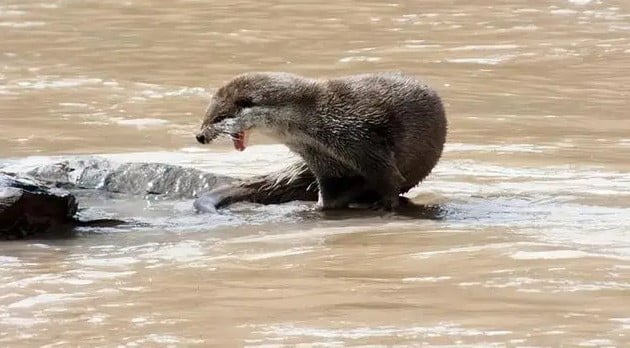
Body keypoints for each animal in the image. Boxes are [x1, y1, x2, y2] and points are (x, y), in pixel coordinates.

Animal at [195, 72, 446, 211]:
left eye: (217, 118)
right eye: (205, 116)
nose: (199, 136)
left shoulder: (362, 140)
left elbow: (389, 176)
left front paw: (385, 205)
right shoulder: (319, 159)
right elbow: (330, 189)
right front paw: (319, 208)